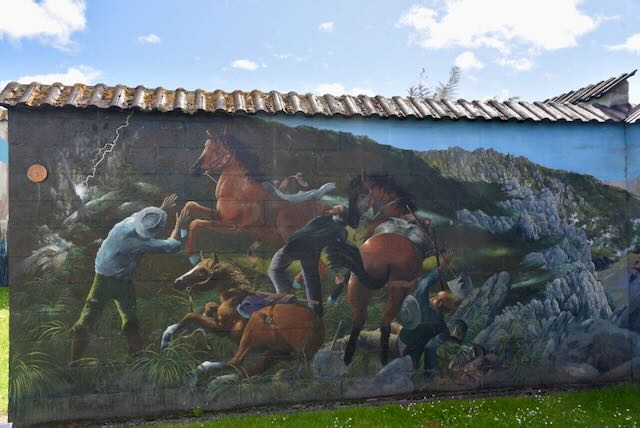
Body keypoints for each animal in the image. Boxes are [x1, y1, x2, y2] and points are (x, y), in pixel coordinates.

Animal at [163, 255, 325, 382]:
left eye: (202, 270)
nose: (177, 281)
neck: (234, 298)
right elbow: (208, 306)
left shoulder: (222, 328)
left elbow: (191, 316)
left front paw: (166, 339)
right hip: (274, 354)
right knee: (249, 371)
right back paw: (217, 381)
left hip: (253, 331)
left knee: (236, 361)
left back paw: (200, 374)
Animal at [183, 128, 332, 264]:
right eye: (205, 146)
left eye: (218, 150)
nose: (193, 170)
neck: (238, 192)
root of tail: (324, 209)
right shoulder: (219, 216)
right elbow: (191, 205)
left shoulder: (232, 226)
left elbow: (196, 222)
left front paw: (192, 256)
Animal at [327, 173, 432, 367]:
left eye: (360, 195)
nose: (353, 221)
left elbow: (345, 276)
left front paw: (333, 296)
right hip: (393, 291)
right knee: (377, 323)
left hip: (362, 284)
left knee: (366, 322)